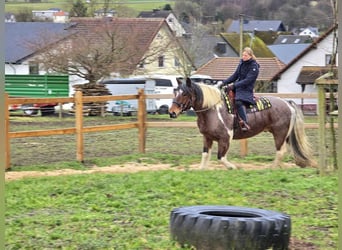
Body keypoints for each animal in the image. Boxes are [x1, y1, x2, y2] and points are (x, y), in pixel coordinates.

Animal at [168, 77, 316, 169]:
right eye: (175, 92)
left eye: (185, 94)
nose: (172, 112)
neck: (212, 110)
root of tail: (287, 103)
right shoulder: (207, 138)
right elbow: (205, 156)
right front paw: (201, 169)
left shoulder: (225, 138)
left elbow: (221, 157)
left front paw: (234, 167)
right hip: (286, 135)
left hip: (279, 134)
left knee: (280, 152)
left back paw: (272, 168)